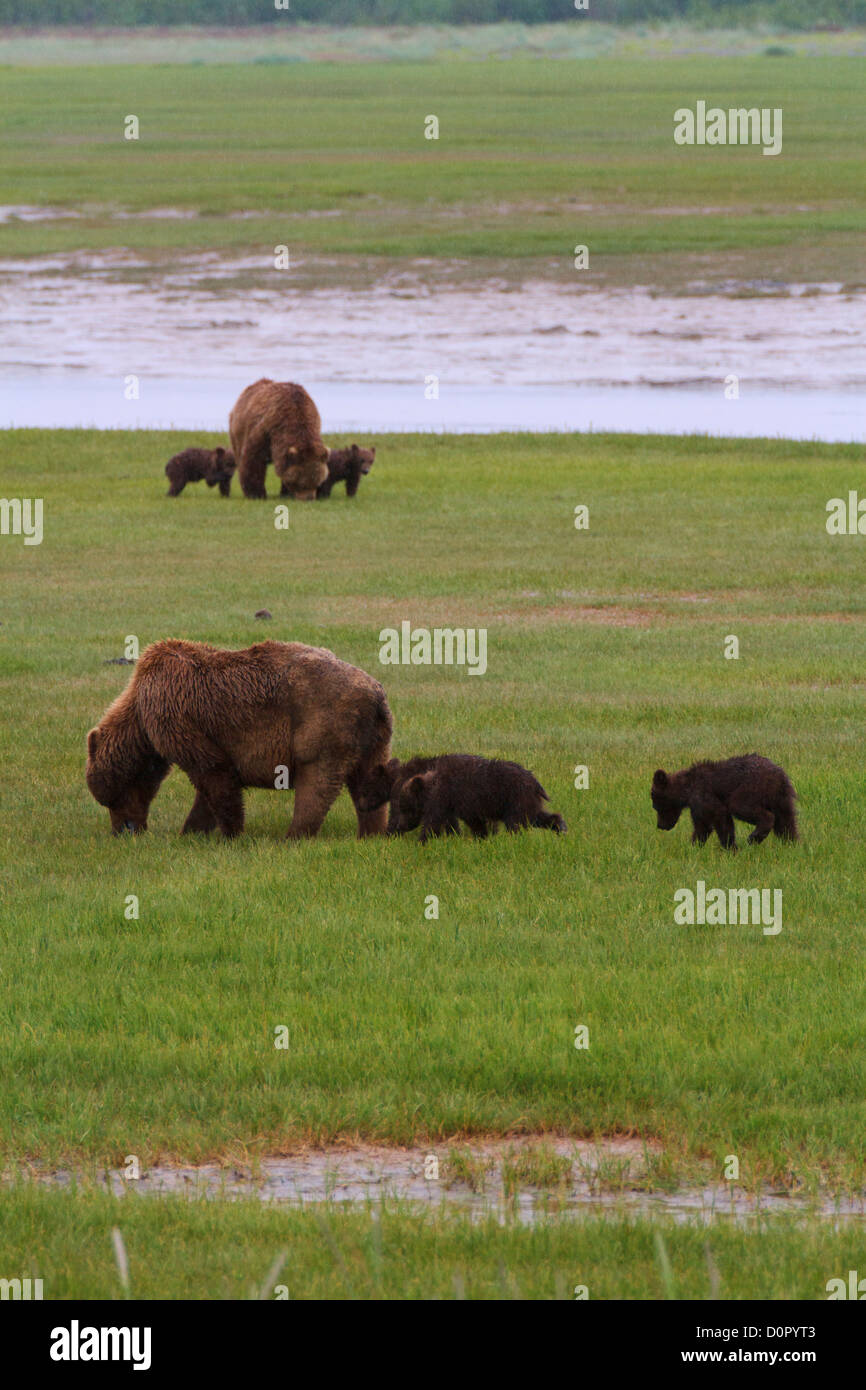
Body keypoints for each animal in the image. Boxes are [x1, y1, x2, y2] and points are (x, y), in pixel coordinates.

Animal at [85, 636, 391, 834]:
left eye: (111, 798)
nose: (124, 831)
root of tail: (374, 692)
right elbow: (207, 785)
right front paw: (193, 830)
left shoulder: (178, 715)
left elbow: (213, 773)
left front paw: (229, 831)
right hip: (374, 736)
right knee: (368, 781)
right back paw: (372, 831)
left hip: (322, 720)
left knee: (317, 780)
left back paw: (295, 834)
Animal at [355, 756, 567, 839]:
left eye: (364, 789)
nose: (361, 806)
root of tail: (536, 783)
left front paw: (389, 834)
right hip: (527, 801)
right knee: (536, 816)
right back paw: (560, 826)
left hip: (515, 798)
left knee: (517, 822)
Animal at [650, 756, 800, 850]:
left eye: (656, 806)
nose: (660, 825)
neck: (686, 790)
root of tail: (777, 775)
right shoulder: (698, 806)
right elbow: (702, 826)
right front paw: (694, 846)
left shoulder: (703, 796)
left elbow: (719, 819)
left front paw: (731, 847)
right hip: (782, 797)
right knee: (786, 821)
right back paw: (791, 843)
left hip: (750, 788)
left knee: (745, 807)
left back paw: (754, 837)